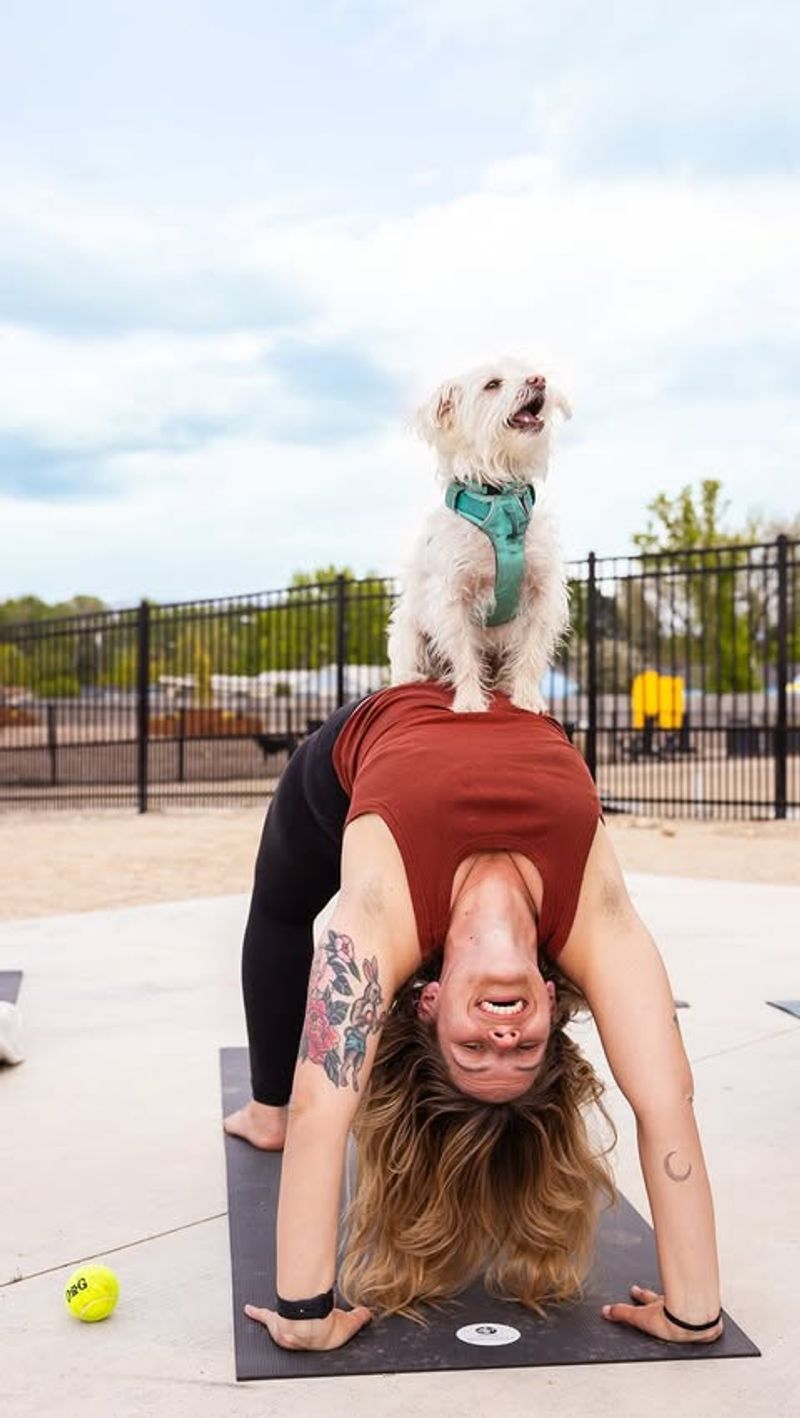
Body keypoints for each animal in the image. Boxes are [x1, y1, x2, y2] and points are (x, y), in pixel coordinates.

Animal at [388, 353, 573, 709]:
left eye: (528, 372)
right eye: (492, 384)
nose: (539, 379)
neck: (500, 499)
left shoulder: (542, 592)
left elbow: (531, 652)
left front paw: (527, 698)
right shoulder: (452, 597)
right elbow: (463, 654)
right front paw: (471, 701)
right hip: (408, 628)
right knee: (407, 658)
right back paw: (409, 677)